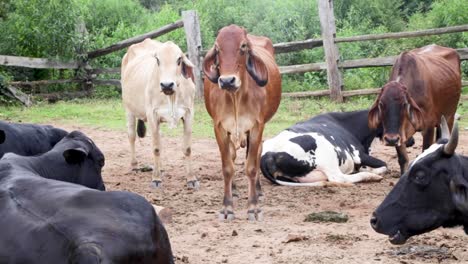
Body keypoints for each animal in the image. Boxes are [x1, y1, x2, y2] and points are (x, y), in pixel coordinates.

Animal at [121, 38, 197, 189]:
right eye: (157, 60)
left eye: (179, 59)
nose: (167, 85)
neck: (172, 96)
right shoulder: (152, 114)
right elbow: (156, 148)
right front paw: (156, 179)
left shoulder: (189, 113)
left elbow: (187, 148)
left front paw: (191, 178)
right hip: (129, 109)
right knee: (131, 136)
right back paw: (134, 165)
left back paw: (160, 168)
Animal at [202, 24, 282, 221]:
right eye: (217, 48)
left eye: (243, 46)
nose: (227, 80)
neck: (236, 97)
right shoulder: (220, 128)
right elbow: (227, 167)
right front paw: (227, 207)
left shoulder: (256, 126)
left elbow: (251, 166)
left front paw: (253, 207)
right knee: (232, 156)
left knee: (257, 153)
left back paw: (258, 190)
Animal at [262, 109, 390, 186]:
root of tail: (268, 154)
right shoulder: (358, 154)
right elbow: (385, 165)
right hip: (327, 154)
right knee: (338, 178)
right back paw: (371, 176)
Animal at [368, 44, 462, 174]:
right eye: (381, 104)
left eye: (404, 104)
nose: (390, 140)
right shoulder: (399, 134)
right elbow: (403, 159)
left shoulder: (428, 127)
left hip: (449, 116)